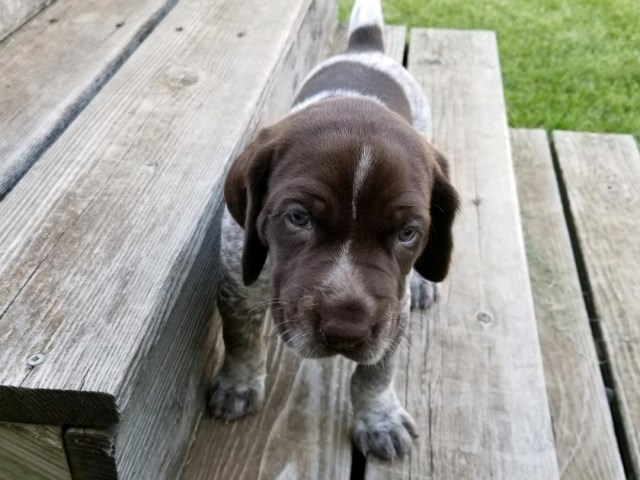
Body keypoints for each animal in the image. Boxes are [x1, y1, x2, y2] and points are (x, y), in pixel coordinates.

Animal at [210, 0, 460, 460]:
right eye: (297, 218)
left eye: (408, 233)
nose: (346, 332)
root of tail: (366, 48)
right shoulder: (237, 283)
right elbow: (242, 340)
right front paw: (238, 384)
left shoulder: (391, 311)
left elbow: (375, 373)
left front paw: (379, 418)